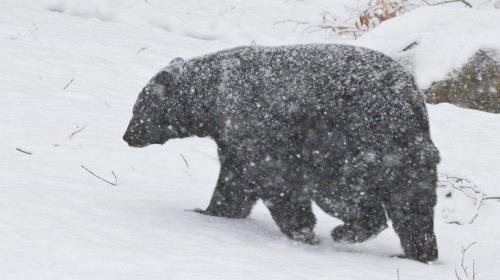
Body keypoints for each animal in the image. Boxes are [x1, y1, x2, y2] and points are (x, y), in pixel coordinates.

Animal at [123, 43, 440, 262]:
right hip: (408, 154)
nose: (128, 135)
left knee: (347, 194)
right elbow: (233, 181)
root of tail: (412, 100)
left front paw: (302, 232)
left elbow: (276, 181)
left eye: (139, 107)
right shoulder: (233, 141)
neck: (214, 98)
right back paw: (417, 252)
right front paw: (210, 210)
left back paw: (346, 231)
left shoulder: (259, 128)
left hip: (355, 144)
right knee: (414, 204)